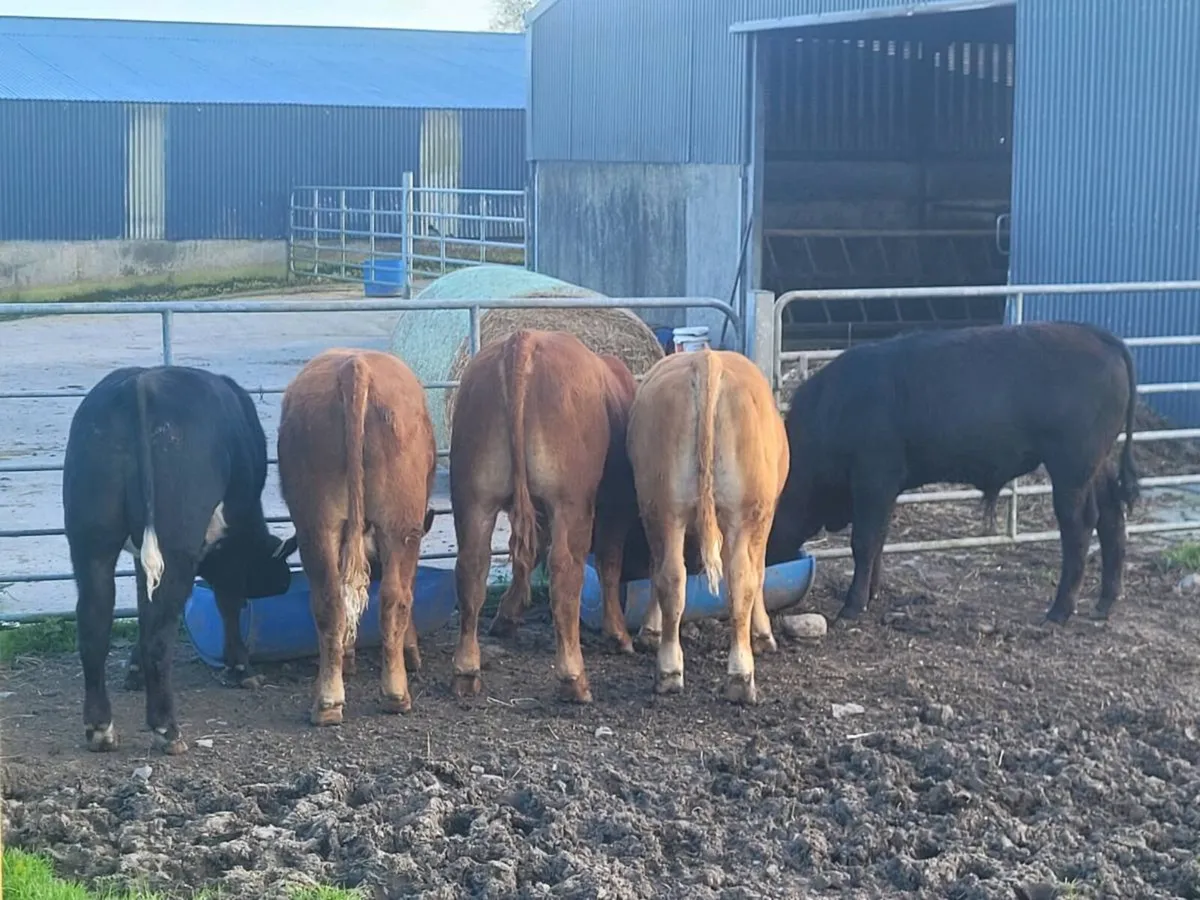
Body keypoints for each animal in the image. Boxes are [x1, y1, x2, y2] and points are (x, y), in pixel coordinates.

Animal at [63, 366, 297, 756]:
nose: (286, 581)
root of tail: (139, 384)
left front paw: (133, 673)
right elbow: (228, 600)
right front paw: (241, 668)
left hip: (90, 539)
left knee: (95, 624)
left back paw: (100, 728)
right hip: (174, 540)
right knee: (158, 637)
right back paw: (167, 729)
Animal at [277, 349, 438, 726]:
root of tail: (355, 365)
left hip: (317, 524)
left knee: (330, 600)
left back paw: (328, 702)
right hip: (400, 526)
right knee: (395, 598)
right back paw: (396, 694)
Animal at [449, 329, 640, 704]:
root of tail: (525, 339)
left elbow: (530, 555)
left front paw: (508, 615)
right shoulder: (616, 505)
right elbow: (610, 563)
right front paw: (619, 634)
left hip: (474, 498)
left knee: (472, 568)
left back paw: (466, 671)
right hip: (570, 503)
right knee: (565, 571)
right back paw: (574, 679)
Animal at [627, 348, 790, 706]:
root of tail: (707, 359)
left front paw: (649, 631)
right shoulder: (767, 516)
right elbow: (760, 573)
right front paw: (763, 634)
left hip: (663, 509)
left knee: (671, 576)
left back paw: (670, 670)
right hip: (747, 514)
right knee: (743, 578)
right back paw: (741, 675)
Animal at [765, 320, 1141, 625]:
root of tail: (1095, 334)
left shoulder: (874, 478)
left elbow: (864, 541)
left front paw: (852, 606)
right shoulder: (884, 489)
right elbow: (879, 540)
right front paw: (871, 593)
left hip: (1072, 467)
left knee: (1079, 526)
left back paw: (1059, 611)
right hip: (1099, 463)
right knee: (1112, 517)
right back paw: (1104, 604)